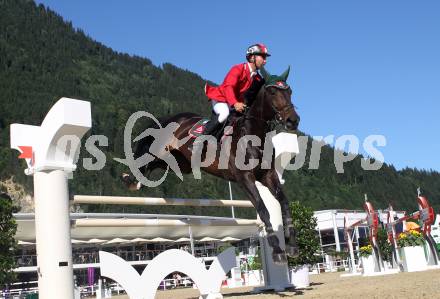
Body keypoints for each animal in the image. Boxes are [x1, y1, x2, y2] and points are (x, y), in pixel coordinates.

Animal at [124, 67, 302, 264]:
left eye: (290, 91)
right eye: (272, 92)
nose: (293, 120)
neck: (252, 135)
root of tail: (174, 118)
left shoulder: (267, 175)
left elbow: (284, 203)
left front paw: (292, 246)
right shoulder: (245, 178)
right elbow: (263, 209)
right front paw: (277, 250)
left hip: (180, 162)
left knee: (157, 164)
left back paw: (137, 181)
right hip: (162, 151)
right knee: (147, 156)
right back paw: (131, 180)